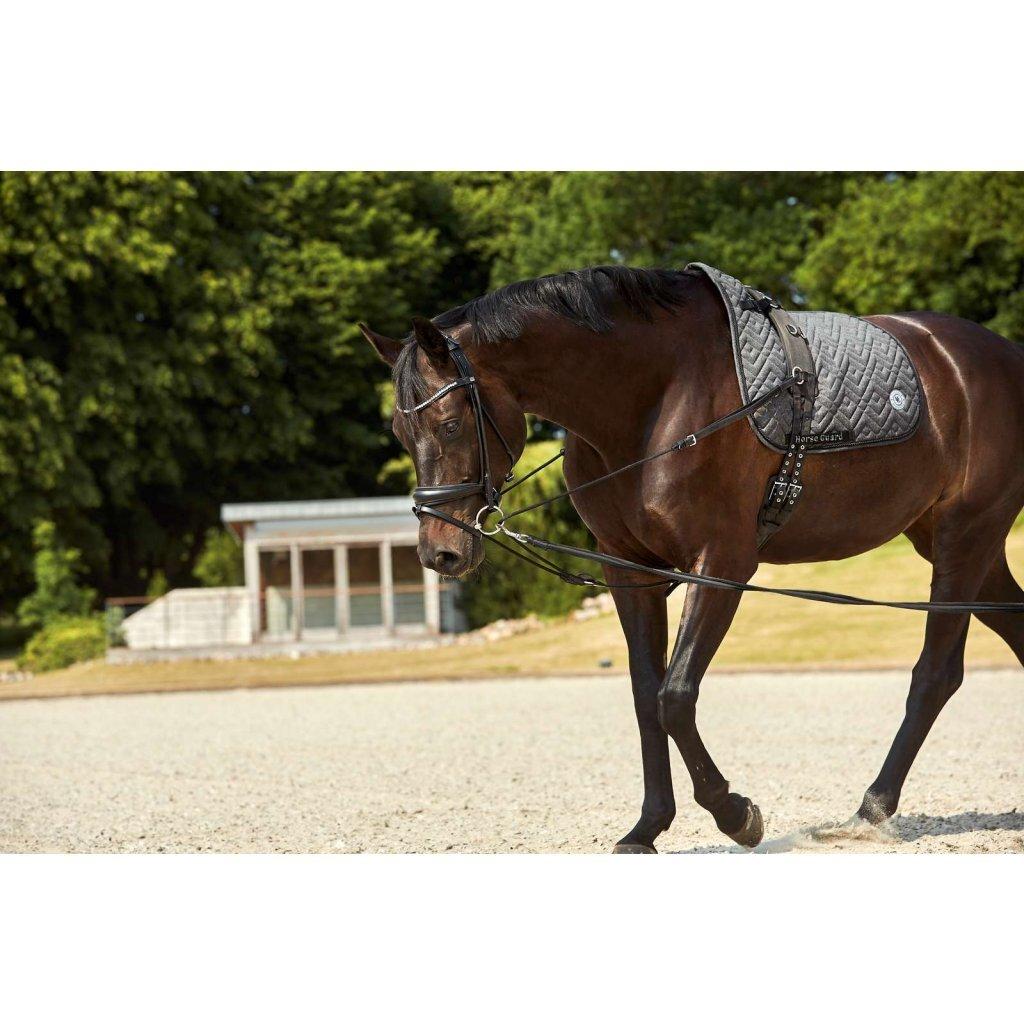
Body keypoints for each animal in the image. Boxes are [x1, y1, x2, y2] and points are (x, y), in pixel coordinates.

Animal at [359, 265, 1024, 852]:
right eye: (400, 432)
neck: (654, 396)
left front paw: (736, 814)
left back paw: (871, 808)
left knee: (935, 674)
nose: (440, 551)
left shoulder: (722, 564)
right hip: (960, 545)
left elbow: (674, 697)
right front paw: (647, 828)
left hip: (965, 538)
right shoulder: (630, 571)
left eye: (449, 424)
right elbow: (645, 697)